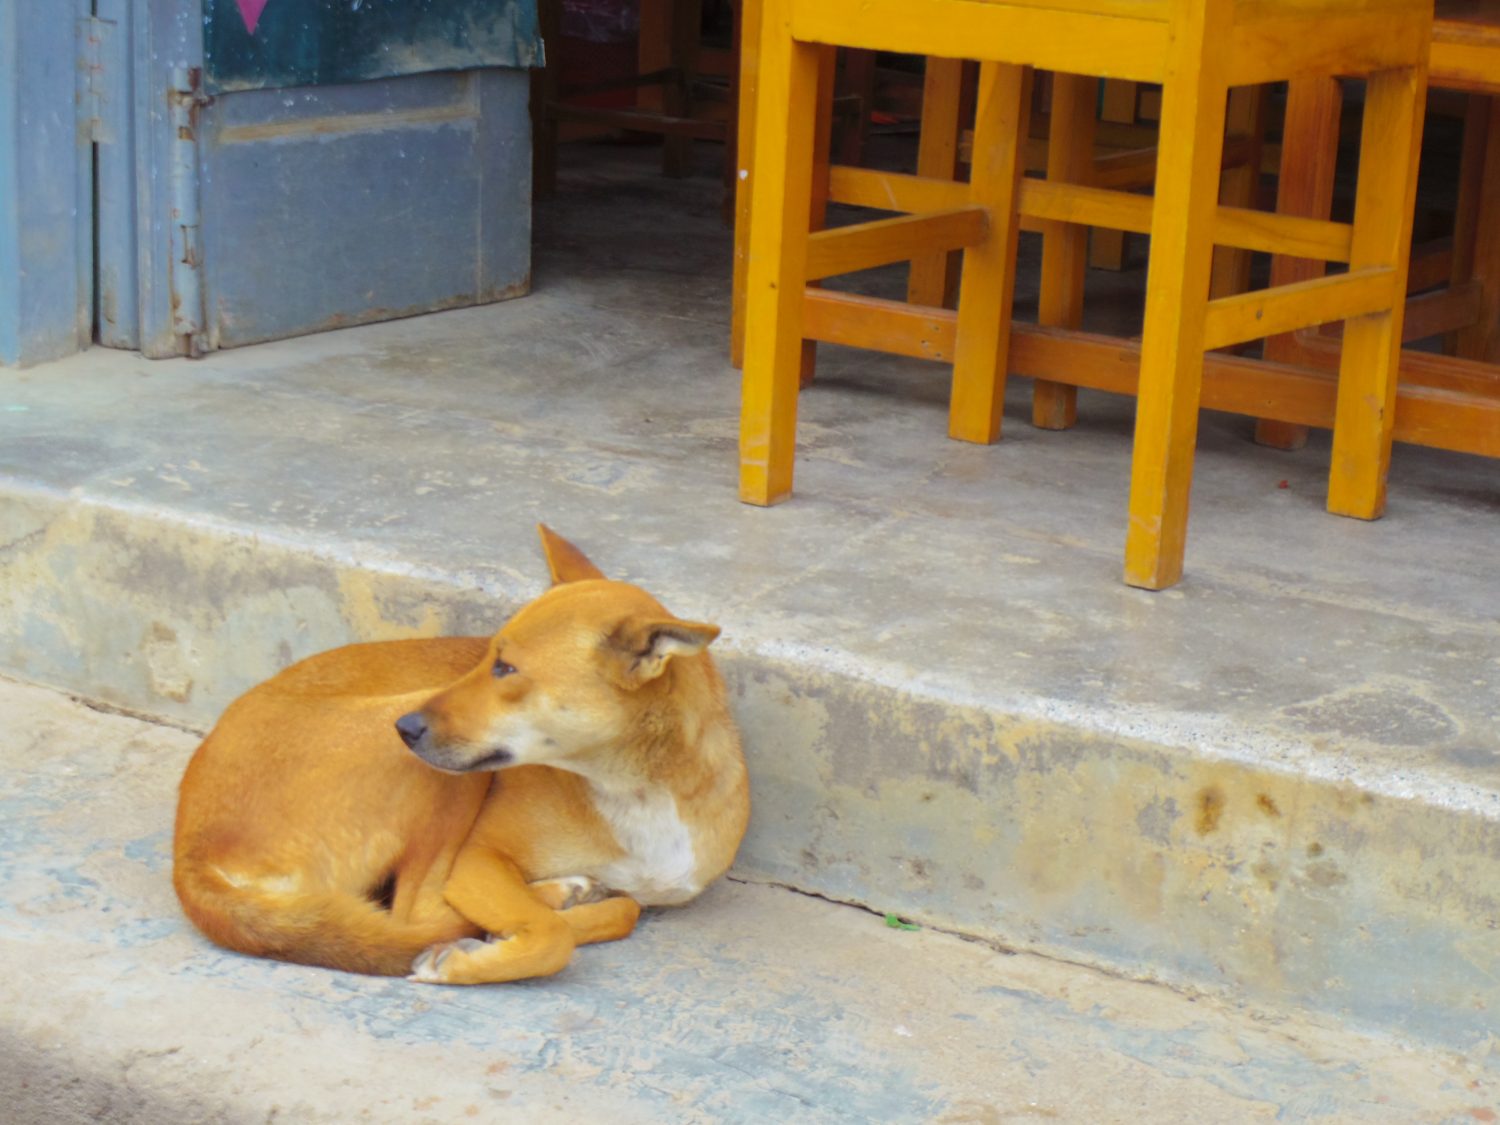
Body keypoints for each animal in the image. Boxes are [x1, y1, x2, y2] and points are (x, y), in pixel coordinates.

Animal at [171, 528, 750, 984]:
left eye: (506, 669)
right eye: (488, 654)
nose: (405, 729)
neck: (637, 791)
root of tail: (190, 856)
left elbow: (625, 908)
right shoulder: (477, 859)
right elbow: (555, 937)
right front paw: (478, 955)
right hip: (446, 777)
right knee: (415, 917)